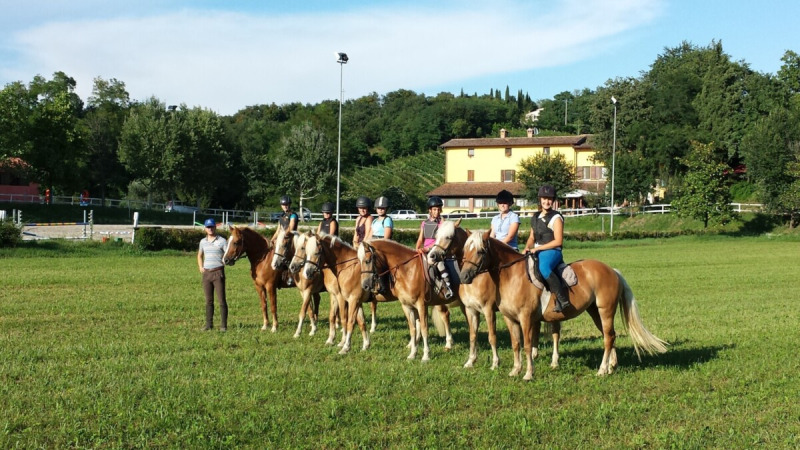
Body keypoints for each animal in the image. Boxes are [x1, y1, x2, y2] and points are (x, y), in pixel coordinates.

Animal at [454, 228, 668, 379]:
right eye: (465, 250)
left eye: (481, 251)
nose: (464, 277)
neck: (511, 276)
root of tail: (612, 271)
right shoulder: (509, 318)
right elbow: (516, 344)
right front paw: (515, 370)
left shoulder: (526, 318)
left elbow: (527, 345)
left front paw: (528, 374)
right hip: (595, 312)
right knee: (610, 336)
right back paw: (610, 367)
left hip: (605, 310)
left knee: (608, 338)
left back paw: (601, 370)